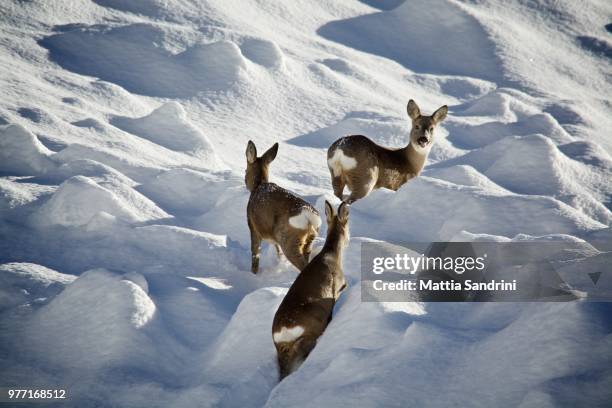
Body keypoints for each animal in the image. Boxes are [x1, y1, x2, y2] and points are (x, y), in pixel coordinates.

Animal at [245, 140, 320, 274]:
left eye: (245, 170)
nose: (245, 181)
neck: (258, 185)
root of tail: (308, 216)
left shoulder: (253, 227)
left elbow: (255, 254)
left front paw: (253, 274)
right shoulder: (273, 238)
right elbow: (277, 250)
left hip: (289, 240)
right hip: (309, 240)